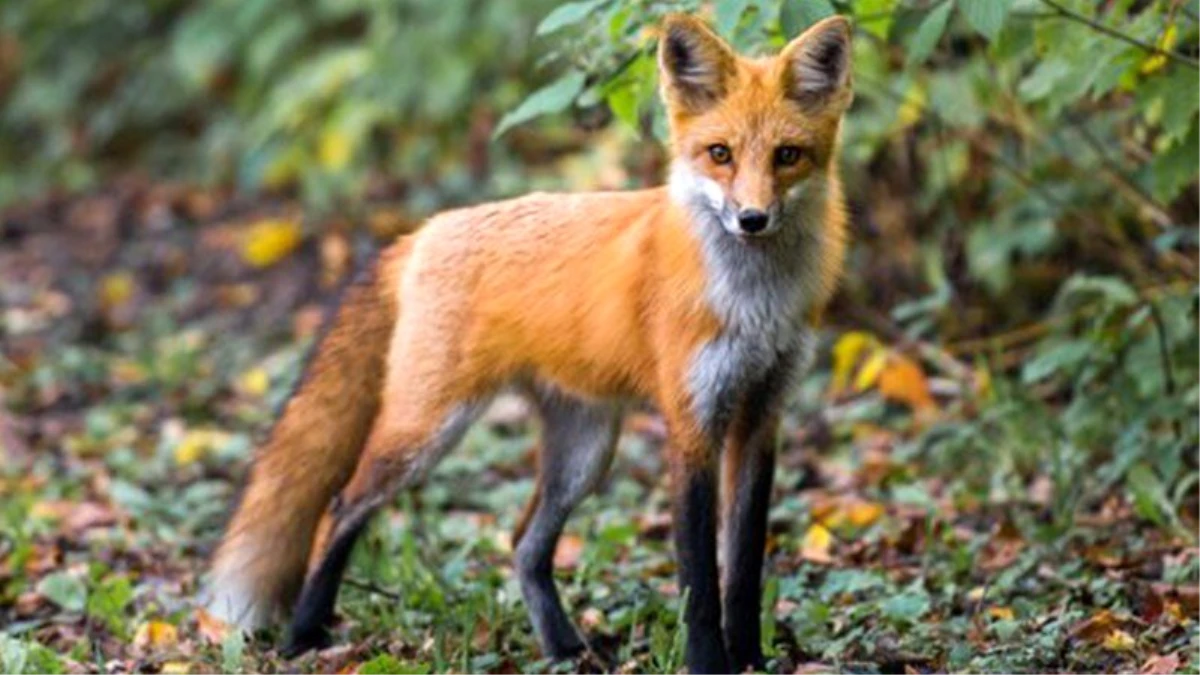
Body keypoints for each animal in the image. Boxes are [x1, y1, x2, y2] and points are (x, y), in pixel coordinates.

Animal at [201, 11, 849, 672]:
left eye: (788, 156)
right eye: (720, 154)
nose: (752, 219)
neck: (754, 304)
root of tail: (422, 232)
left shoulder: (760, 417)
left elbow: (742, 569)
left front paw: (752, 659)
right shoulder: (692, 424)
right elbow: (699, 578)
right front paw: (709, 663)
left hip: (584, 453)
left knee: (522, 542)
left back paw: (563, 648)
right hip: (426, 433)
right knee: (341, 505)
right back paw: (304, 632)